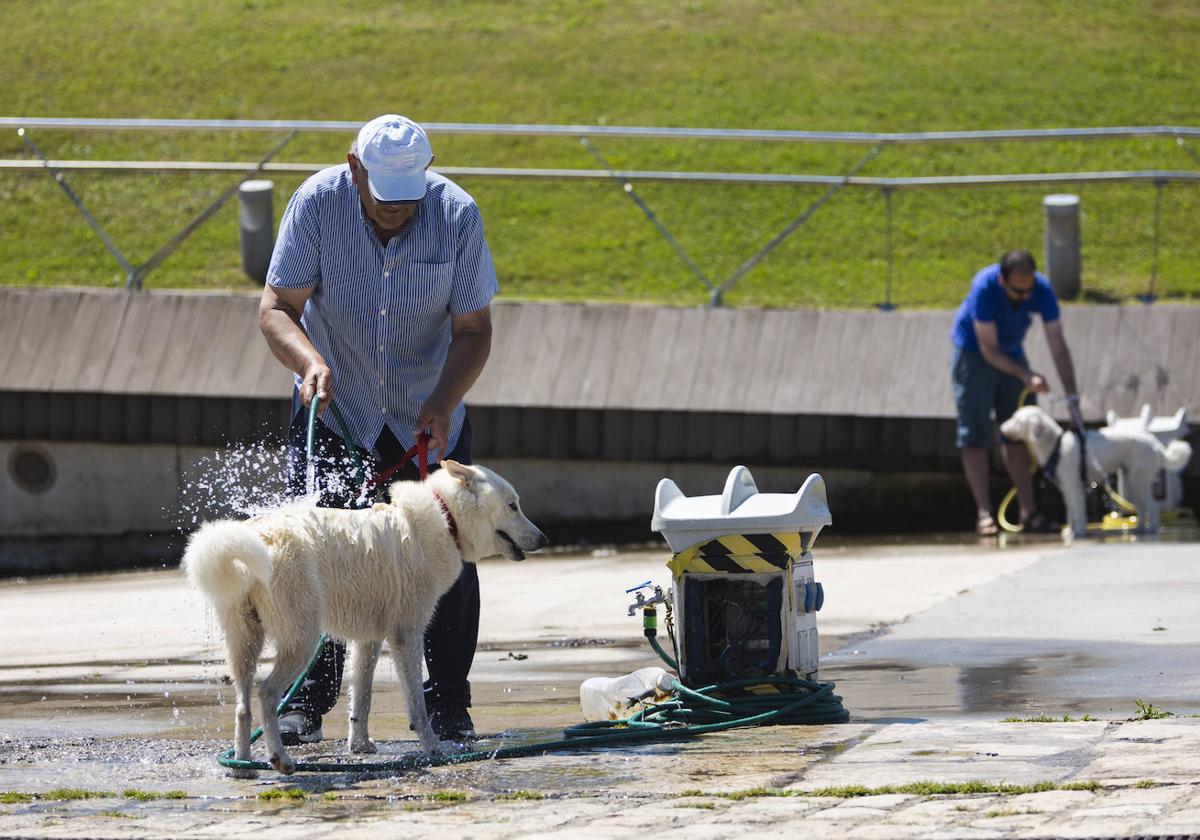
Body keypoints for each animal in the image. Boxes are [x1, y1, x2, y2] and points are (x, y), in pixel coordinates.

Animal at [1003, 405, 1190, 537]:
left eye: (1016, 419)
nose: (1001, 429)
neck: (1056, 445)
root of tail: (1157, 445)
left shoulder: (1075, 486)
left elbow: (1078, 511)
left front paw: (1078, 533)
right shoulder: (1066, 489)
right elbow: (1070, 512)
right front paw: (1070, 531)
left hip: (1139, 480)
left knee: (1152, 506)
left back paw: (1151, 530)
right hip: (1131, 480)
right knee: (1143, 508)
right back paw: (1140, 529)